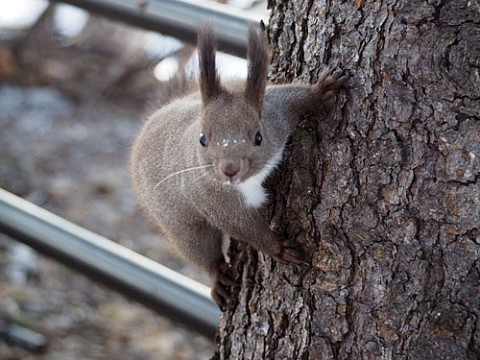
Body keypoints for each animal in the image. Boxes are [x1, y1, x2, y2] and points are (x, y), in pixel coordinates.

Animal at [129, 24, 346, 310]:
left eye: (258, 137)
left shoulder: (276, 113)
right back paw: (217, 277)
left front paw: (321, 91)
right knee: (201, 250)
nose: (229, 169)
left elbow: (296, 97)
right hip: (181, 224)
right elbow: (243, 227)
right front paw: (278, 248)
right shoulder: (213, 199)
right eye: (202, 138)